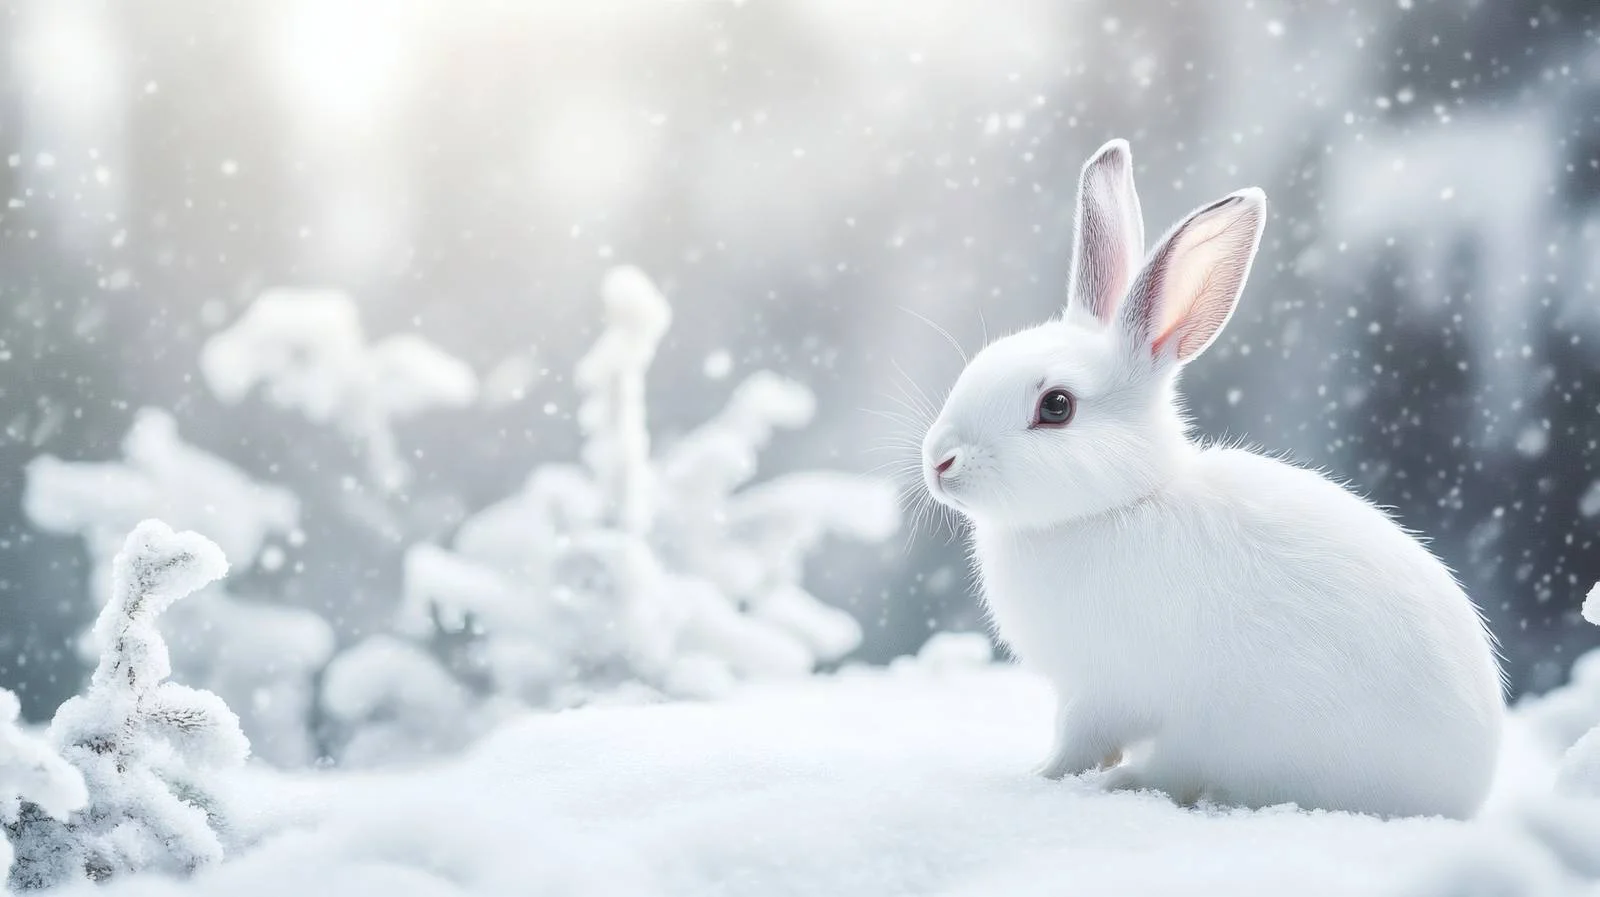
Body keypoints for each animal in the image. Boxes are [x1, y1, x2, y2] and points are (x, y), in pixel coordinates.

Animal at [919, 139, 1504, 819]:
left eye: (1056, 407)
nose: (939, 462)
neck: (1120, 504)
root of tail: (1469, 789)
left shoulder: (1099, 690)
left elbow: (1078, 742)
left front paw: (1043, 776)